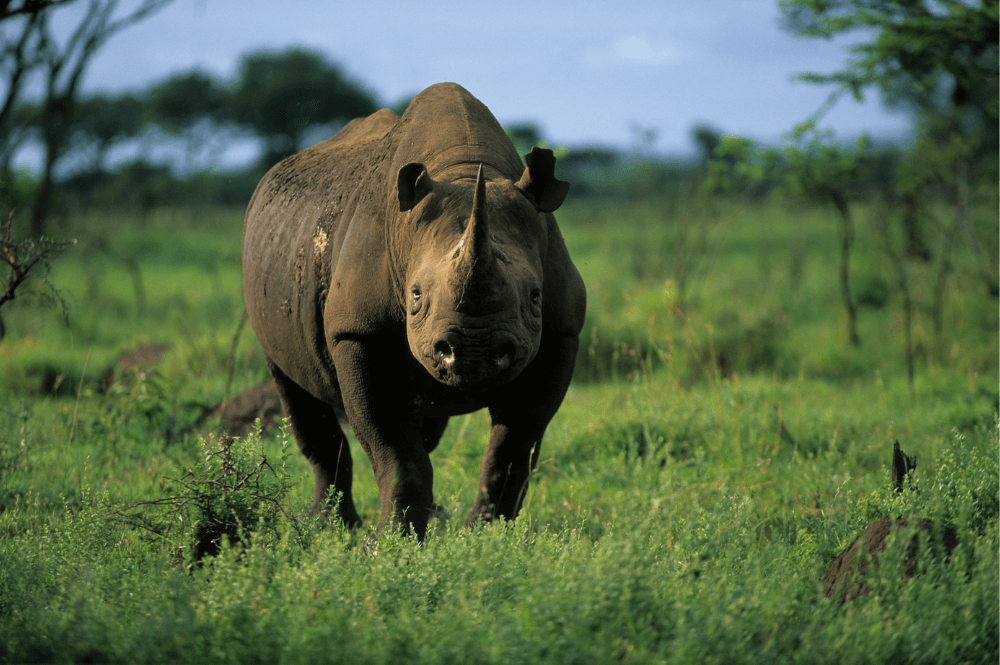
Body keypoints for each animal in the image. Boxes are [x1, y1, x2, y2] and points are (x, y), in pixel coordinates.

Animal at [242, 82, 586, 539]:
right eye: (416, 296)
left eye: (534, 297)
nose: (474, 354)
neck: (466, 170)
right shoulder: (359, 331)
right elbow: (394, 448)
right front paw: (392, 542)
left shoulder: (559, 332)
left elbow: (513, 447)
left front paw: (485, 537)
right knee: (294, 388)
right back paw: (331, 529)